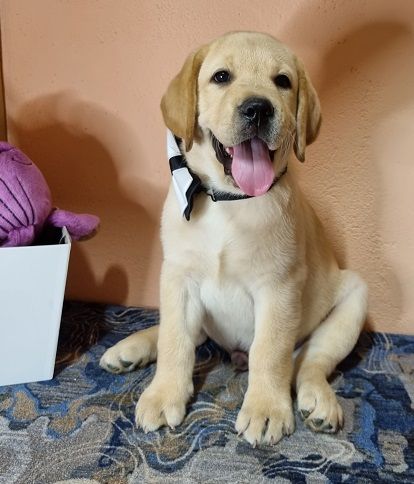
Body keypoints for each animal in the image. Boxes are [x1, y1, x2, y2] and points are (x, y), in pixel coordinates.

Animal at [100, 31, 368, 446]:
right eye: (221, 77)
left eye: (283, 81)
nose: (258, 109)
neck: (228, 201)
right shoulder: (177, 277)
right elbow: (175, 341)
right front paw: (163, 394)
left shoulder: (279, 287)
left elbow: (269, 351)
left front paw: (266, 409)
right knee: (184, 335)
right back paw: (131, 348)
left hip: (353, 299)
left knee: (311, 361)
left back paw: (319, 401)